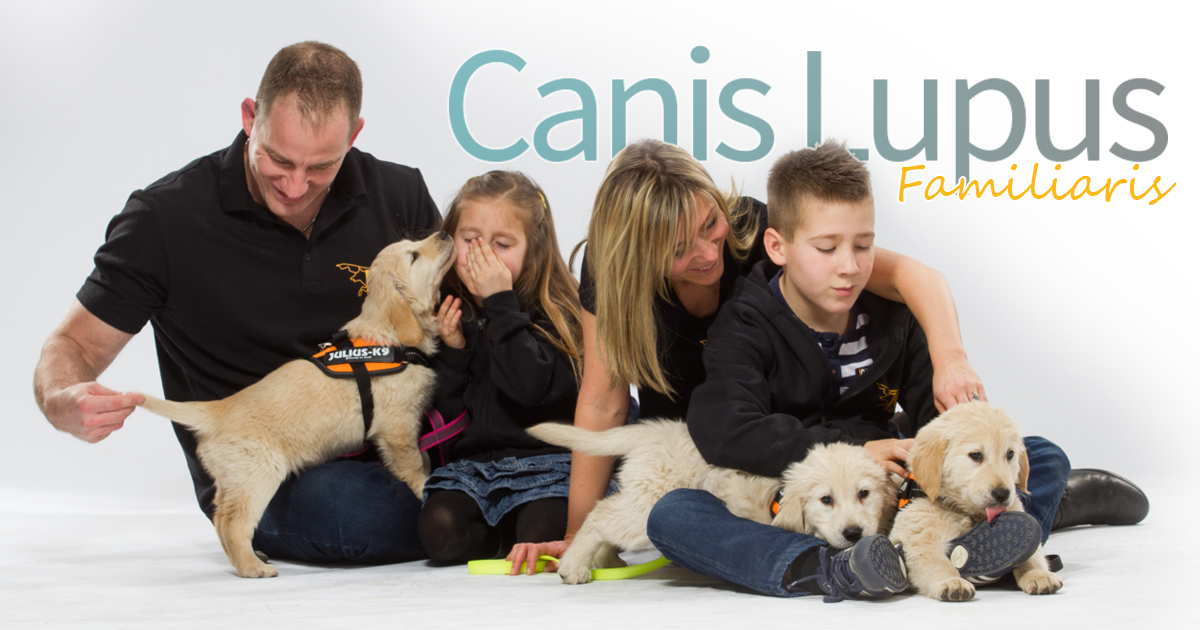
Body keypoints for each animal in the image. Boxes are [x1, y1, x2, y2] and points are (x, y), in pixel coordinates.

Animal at [137, 232, 455, 578]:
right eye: (414, 256)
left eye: (414, 242)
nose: (442, 233)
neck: (392, 339)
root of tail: (218, 409)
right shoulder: (396, 428)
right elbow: (412, 466)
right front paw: (423, 487)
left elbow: (422, 454)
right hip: (259, 473)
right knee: (233, 523)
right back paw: (252, 568)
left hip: (233, 479)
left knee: (221, 518)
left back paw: (253, 557)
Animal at [527, 420, 897, 585]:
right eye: (826, 499)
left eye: (864, 494)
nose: (853, 533)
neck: (778, 494)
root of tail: (655, 431)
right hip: (650, 506)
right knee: (600, 514)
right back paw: (574, 565)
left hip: (640, 497)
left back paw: (606, 560)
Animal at [888, 401, 1063, 600]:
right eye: (976, 455)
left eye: (1010, 454)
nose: (1002, 494)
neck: (964, 511)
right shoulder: (918, 537)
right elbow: (937, 563)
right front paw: (952, 581)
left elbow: (1032, 555)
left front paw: (1038, 574)